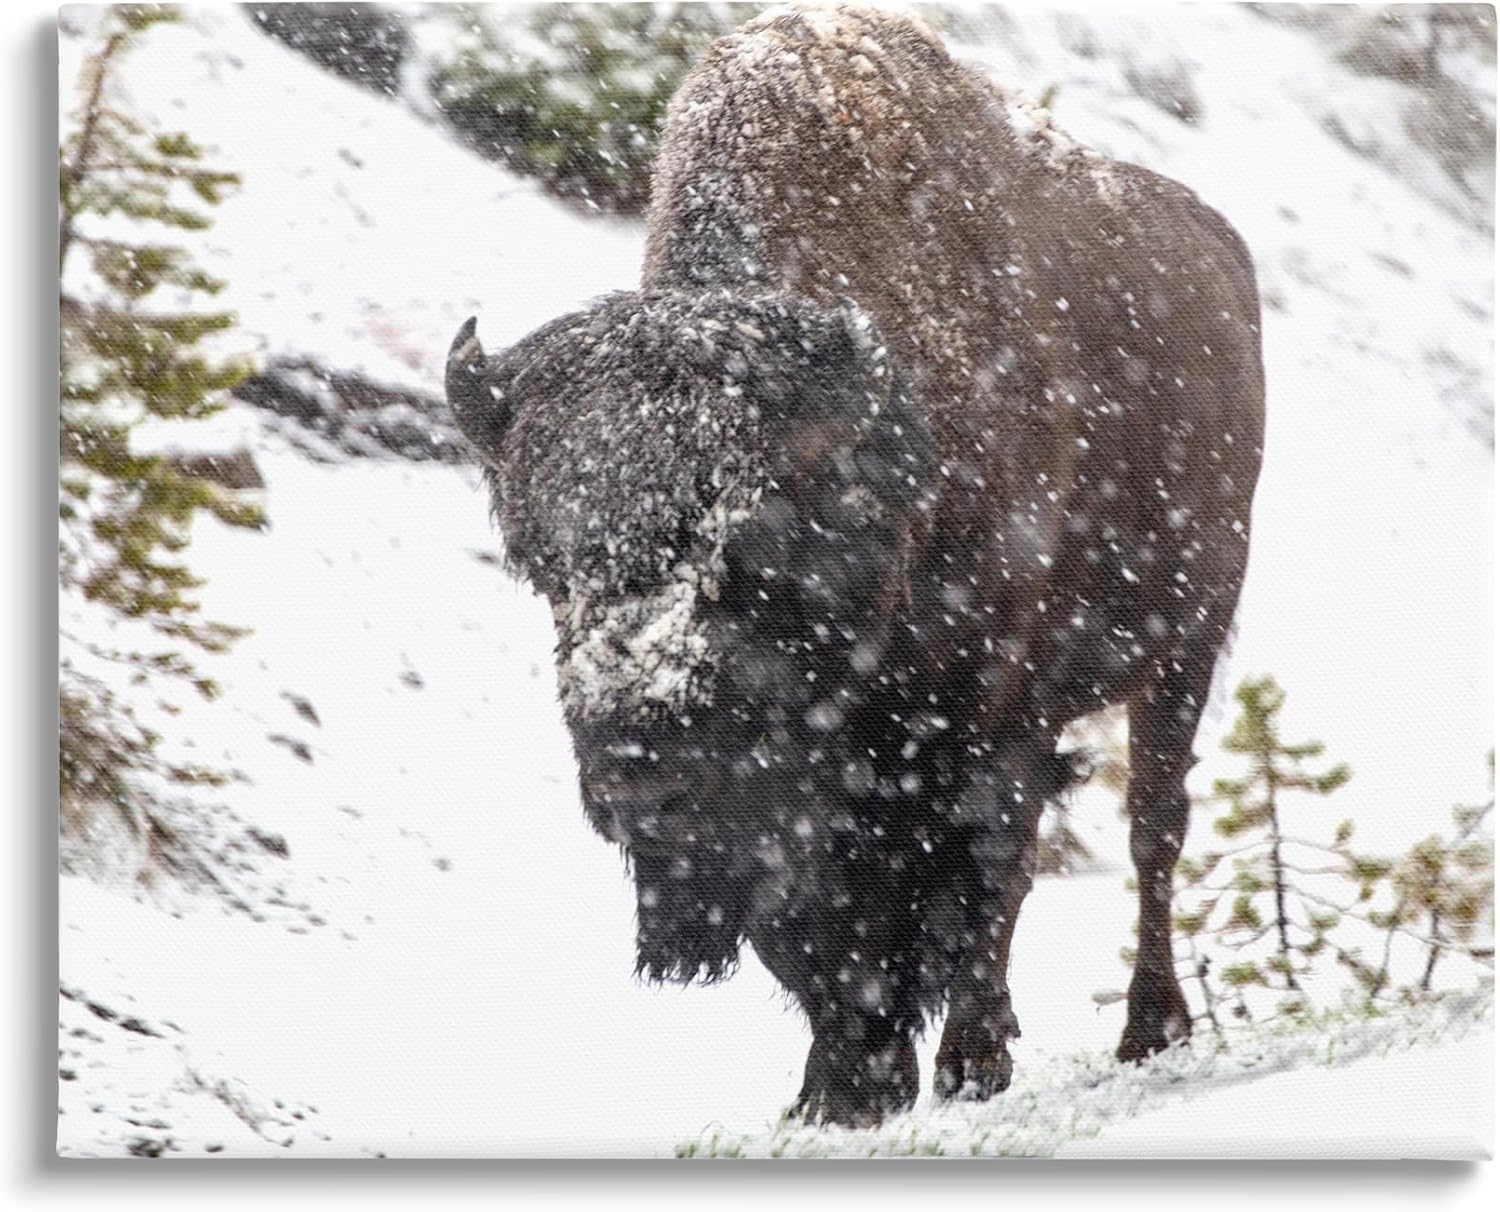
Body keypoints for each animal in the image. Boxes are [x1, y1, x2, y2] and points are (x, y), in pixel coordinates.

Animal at [447, 2, 1264, 1127]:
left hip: (1186, 645)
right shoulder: (809, 796)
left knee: (1151, 829)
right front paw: (838, 1090)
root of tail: (1222, 256)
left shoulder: (990, 719)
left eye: (749, 558)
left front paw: (961, 1066)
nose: (634, 778)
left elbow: (978, 874)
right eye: (541, 565)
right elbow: (813, 930)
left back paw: (1146, 1032)